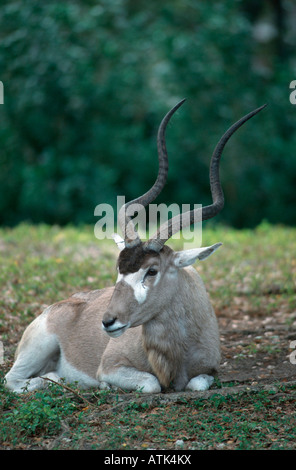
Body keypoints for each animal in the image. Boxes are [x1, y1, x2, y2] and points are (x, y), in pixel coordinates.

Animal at [4, 100, 264, 392]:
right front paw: (107, 386)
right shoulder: (110, 367)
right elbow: (151, 383)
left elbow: (196, 384)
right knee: (15, 379)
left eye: (151, 271)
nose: (108, 322)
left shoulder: (210, 370)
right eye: (119, 270)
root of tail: (53, 309)